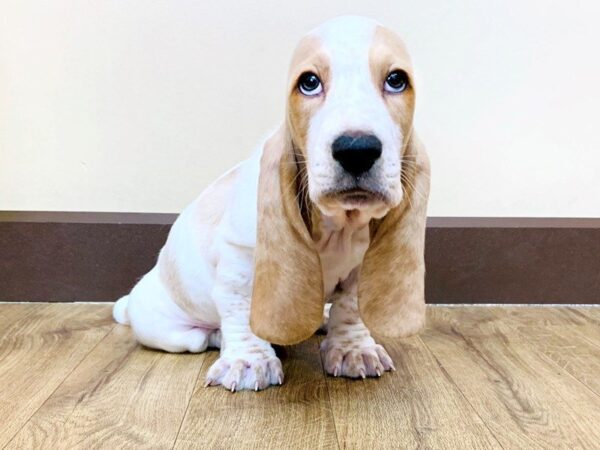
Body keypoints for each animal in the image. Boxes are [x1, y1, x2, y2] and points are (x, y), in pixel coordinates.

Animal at [112, 15, 428, 390]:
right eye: (309, 82)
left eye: (396, 80)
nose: (356, 149)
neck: (338, 225)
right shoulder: (240, 260)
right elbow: (242, 310)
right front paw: (249, 361)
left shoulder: (359, 268)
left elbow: (351, 307)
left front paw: (353, 349)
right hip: (172, 331)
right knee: (201, 336)